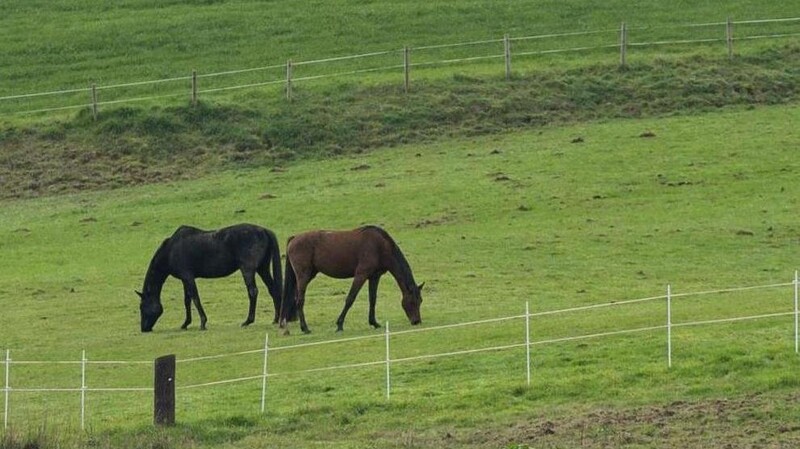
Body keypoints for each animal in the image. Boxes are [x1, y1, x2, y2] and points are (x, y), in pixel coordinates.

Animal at [138, 223, 284, 330]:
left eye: (142, 307)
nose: (144, 329)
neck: (171, 250)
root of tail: (264, 230)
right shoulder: (185, 279)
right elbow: (187, 300)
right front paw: (185, 323)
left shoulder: (188, 277)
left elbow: (195, 298)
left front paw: (203, 323)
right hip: (262, 269)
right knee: (273, 289)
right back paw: (275, 319)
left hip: (248, 270)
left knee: (253, 291)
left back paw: (248, 321)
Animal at [278, 224, 422, 332]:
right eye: (413, 301)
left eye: (420, 301)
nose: (417, 321)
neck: (379, 246)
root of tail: (294, 238)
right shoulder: (361, 275)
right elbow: (350, 299)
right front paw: (339, 324)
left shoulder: (374, 277)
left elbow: (372, 299)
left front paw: (374, 322)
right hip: (303, 276)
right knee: (300, 300)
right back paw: (305, 328)